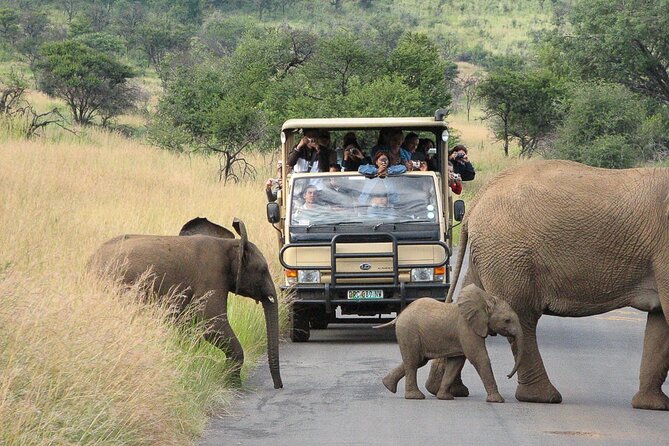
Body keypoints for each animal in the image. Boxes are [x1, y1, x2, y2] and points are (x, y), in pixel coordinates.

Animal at [88, 218, 282, 388]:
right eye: (262, 270)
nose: (278, 386)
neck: (230, 244)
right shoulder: (211, 275)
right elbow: (210, 322)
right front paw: (234, 385)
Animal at [378, 284, 520, 402]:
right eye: (507, 320)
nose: (508, 376)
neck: (485, 300)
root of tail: (400, 315)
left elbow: (456, 362)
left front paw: (445, 397)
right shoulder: (467, 328)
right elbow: (479, 357)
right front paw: (498, 400)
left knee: (418, 360)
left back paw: (387, 385)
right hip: (409, 331)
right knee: (413, 361)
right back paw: (415, 396)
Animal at [444, 161, 668, 412]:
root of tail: (477, 201)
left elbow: (660, 326)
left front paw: (653, 406)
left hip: (491, 253)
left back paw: (452, 390)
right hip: (509, 255)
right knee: (524, 317)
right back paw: (543, 397)